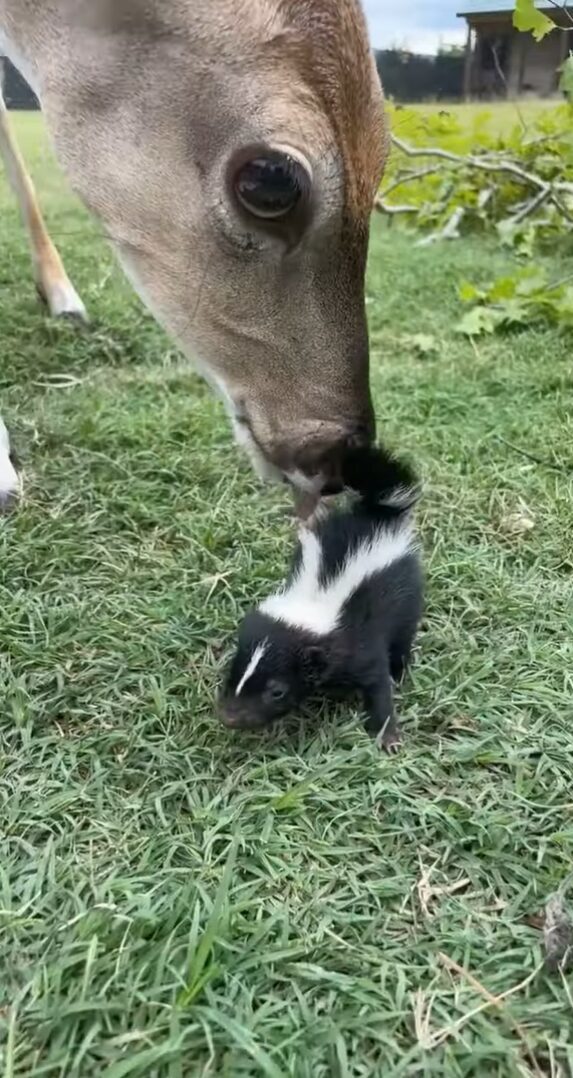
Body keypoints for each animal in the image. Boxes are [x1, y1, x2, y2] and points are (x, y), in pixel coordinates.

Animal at [218, 441, 420, 754]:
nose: (229, 717)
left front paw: (388, 736)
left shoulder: (360, 640)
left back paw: (400, 668)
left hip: (406, 590)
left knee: (404, 632)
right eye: (235, 669)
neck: (316, 596)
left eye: (277, 691)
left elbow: (377, 682)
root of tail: (377, 512)